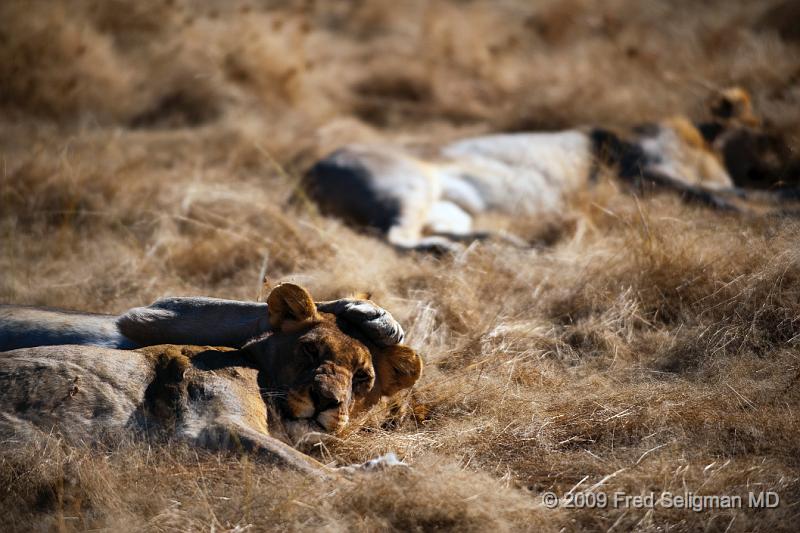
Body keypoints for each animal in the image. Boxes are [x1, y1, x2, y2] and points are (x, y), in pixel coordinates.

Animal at [308, 87, 792, 251]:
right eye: (761, 128)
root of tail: (312, 168)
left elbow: (740, 192)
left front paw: (782, 200)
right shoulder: (643, 171)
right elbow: (721, 197)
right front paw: (777, 216)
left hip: (448, 208)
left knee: (442, 231)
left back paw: (506, 244)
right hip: (408, 185)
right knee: (397, 238)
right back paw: (446, 252)